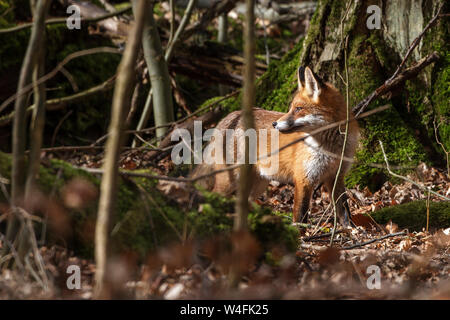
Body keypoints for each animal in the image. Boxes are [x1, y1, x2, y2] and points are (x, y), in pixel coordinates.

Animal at [192, 65, 358, 225]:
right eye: (291, 108)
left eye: (298, 109)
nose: (274, 124)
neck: (330, 148)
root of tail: (229, 116)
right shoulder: (303, 179)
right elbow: (300, 214)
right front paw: (300, 232)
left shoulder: (336, 176)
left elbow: (344, 211)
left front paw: (350, 229)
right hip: (230, 179)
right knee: (214, 195)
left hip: (259, 183)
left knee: (244, 201)